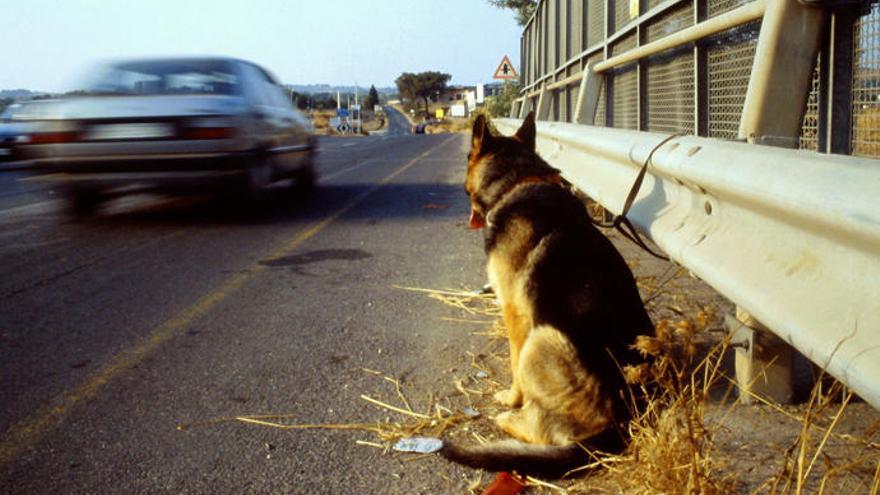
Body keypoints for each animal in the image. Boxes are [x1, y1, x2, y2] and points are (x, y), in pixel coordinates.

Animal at [440, 114, 652, 478]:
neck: (517, 181)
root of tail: (620, 424)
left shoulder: (514, 313)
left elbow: (513, 366)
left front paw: (511, 398)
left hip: (541, 338)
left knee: (545, 430)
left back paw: (510, 418)